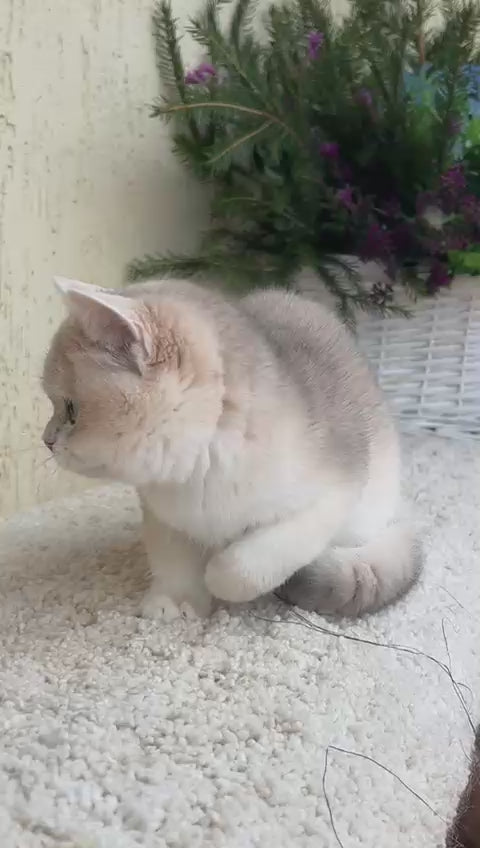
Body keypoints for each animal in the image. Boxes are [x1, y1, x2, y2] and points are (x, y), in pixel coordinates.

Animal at [42, 276, 420, 620]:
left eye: (71, 411)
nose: (46, 440)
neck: (200, 469)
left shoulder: (330, 498)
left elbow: (243, 567)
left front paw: (216, 576)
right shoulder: (166, 519)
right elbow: (172, 563)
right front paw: (175, 603)